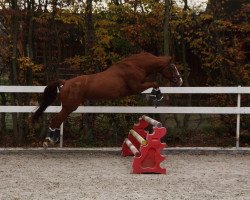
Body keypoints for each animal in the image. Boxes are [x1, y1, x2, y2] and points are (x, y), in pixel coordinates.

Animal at [32, 52, 183, 148]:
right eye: (172, 67)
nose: (180, 81)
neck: (136, 65)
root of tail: (65, 82)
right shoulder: (136, 87)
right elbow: (155, 83)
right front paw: (157, 95)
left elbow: (152, 84)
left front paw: (154, 96)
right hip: (70, 107)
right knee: (56, 119)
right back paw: (49, 140)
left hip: (69, 107)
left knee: (58, 120)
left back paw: (53, 138)